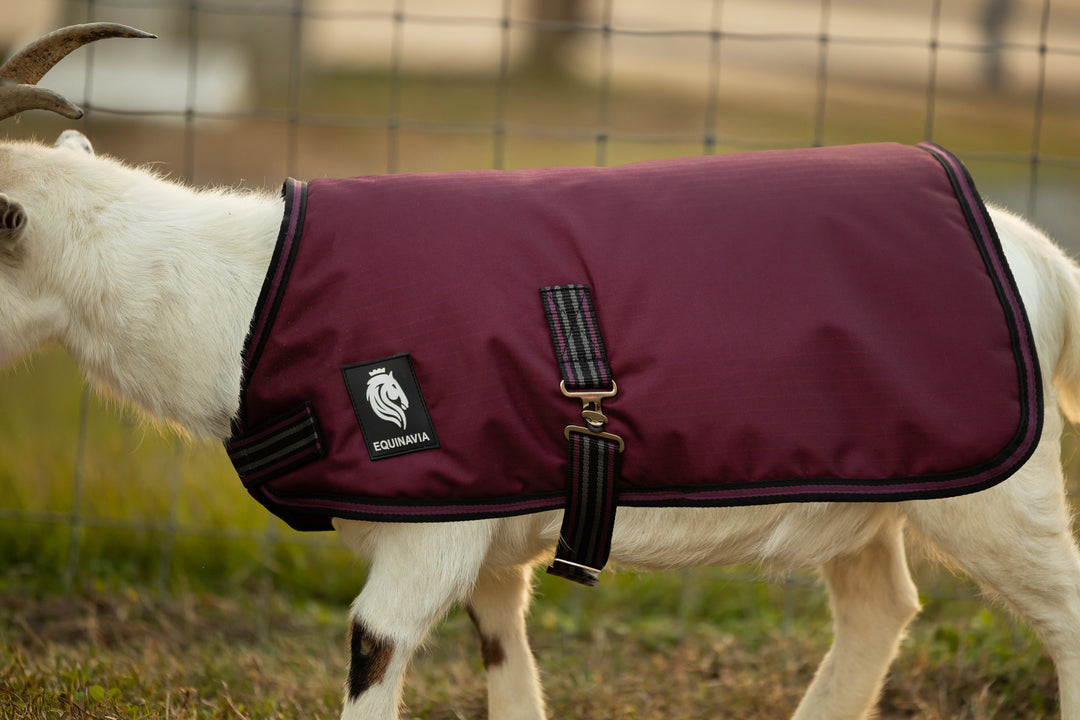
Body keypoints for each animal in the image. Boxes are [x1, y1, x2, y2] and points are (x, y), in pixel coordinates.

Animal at [3, 24, 1080, 720]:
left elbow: (374, 649)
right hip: (874, 487)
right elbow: (505, 657)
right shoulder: (487, 532)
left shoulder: (429, 536)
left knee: (1064, 606)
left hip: (998, 489)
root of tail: (1038, 254)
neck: (250, 292)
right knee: (876, 610)